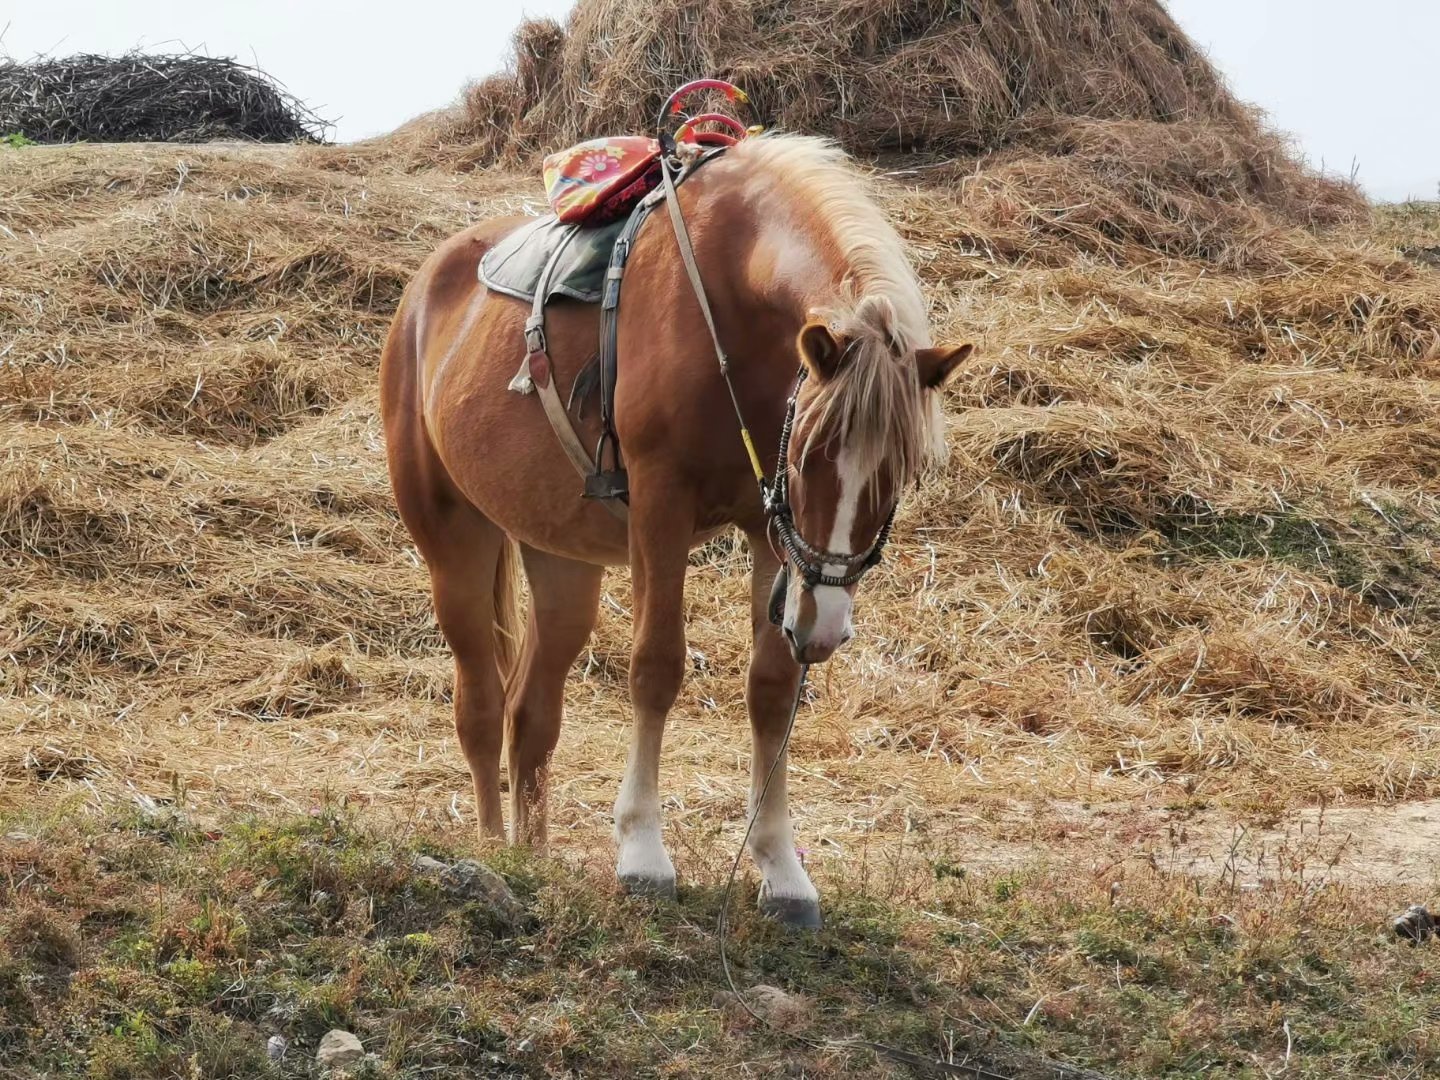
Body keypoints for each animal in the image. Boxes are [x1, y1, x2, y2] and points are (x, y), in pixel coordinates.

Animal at [377, 133, 973, 933]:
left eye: (902, 472)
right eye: (810, 456)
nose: (824, 627)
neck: (728, 302)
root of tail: (421, 296)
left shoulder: (770, 528)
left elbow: (772, 688)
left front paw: (781, 871)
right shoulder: (662, 507)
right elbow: (656, 667)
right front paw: (642, 855)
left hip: (562, 566)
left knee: (530, 713)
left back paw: (534, 856)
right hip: (455, 545)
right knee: (479, 706)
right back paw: (493, 849)